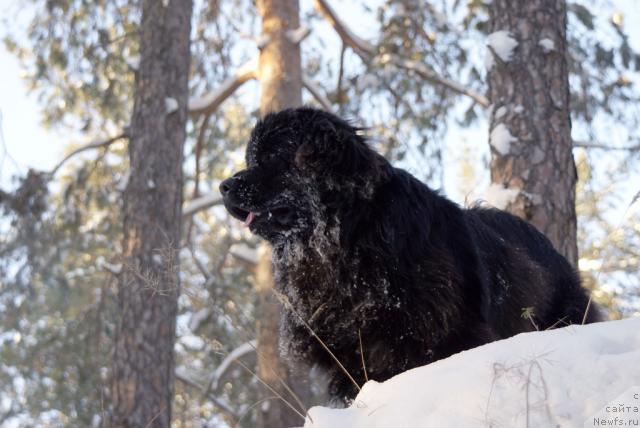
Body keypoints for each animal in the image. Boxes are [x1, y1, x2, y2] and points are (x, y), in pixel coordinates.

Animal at [220, 107, 600, 402]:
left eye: (272, 159)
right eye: (251, 159)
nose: (224, 185)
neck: (346, 239)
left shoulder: (439, 335)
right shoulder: (348, 355)